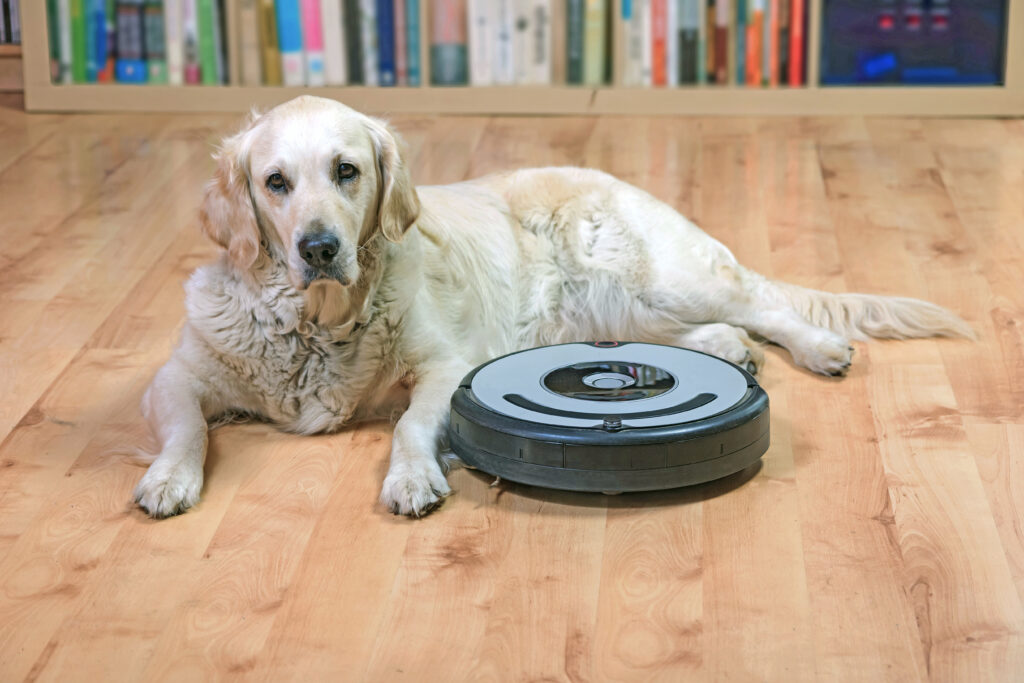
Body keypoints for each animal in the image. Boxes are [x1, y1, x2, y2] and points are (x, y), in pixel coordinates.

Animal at [132, 96, 970, 518]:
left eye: (346, 170)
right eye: (274, 182)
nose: (317, 247)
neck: (320, 322)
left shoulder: (446, 369)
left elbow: (408, 424)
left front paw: (411, 478)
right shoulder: (179, 374)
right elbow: (185, 426)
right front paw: (169, 480)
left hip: (658, 274)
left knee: (764, 299)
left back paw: (820, 347)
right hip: (618, 311)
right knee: (705, 328)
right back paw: (728, 348)